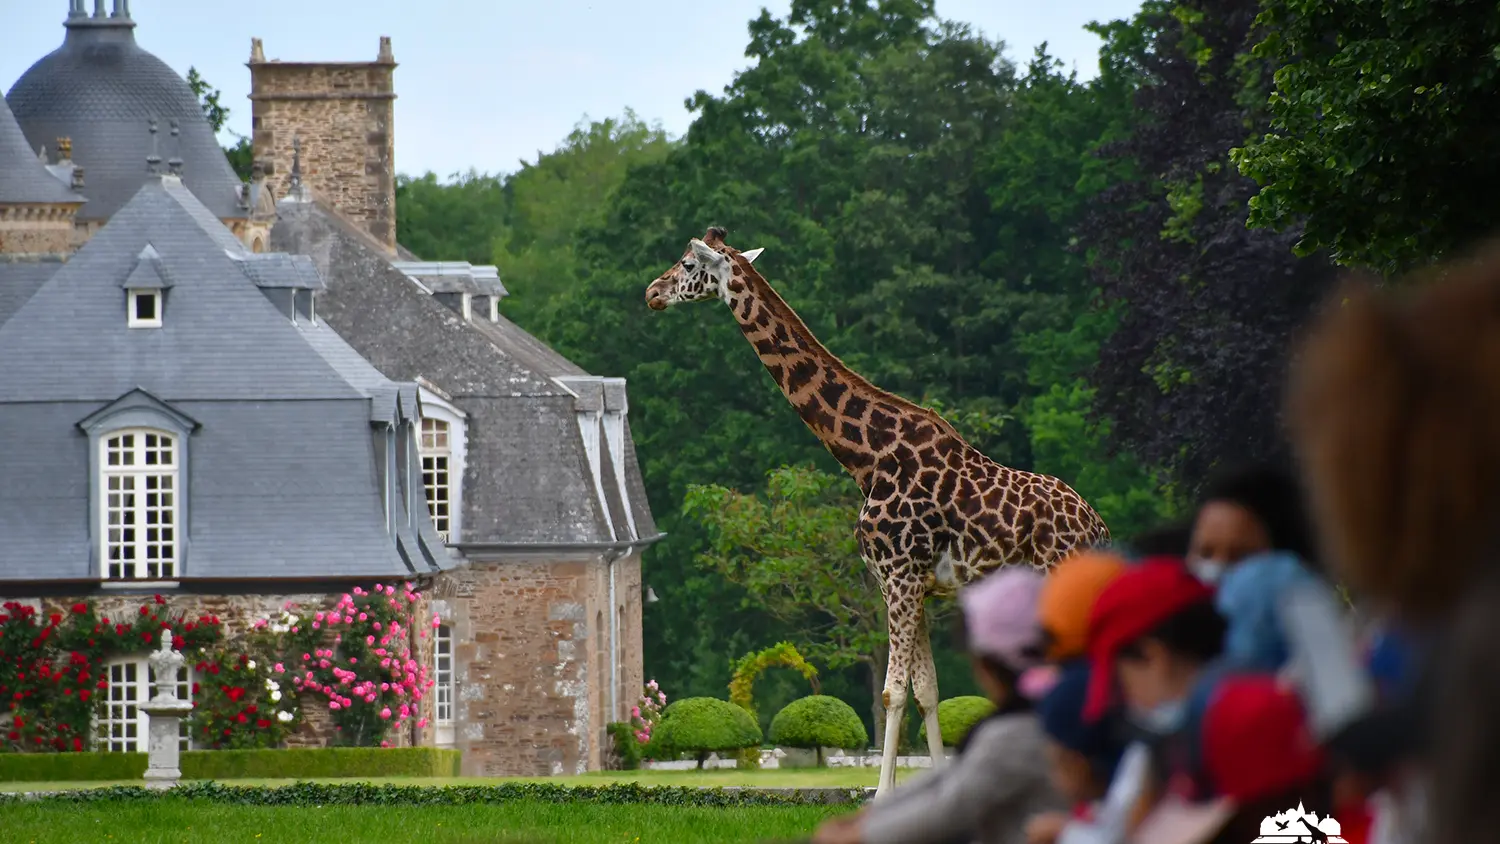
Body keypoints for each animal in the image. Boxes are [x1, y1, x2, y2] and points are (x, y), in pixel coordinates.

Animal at [645, 227, 1116, 797]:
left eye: (689, 262)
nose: (651, 292)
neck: (865, 456)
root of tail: (1099, 529)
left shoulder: (900, 577)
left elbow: (892, 693)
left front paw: (883, 795)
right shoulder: (917, 585)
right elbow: (927, 692)